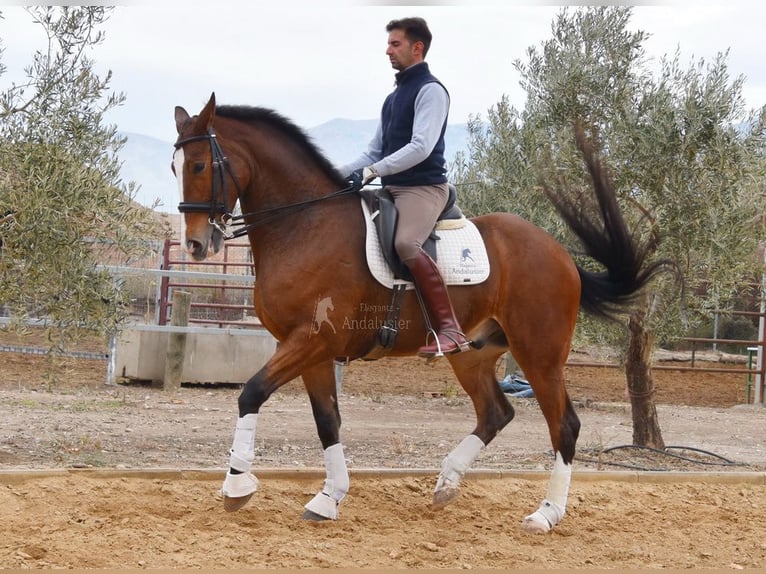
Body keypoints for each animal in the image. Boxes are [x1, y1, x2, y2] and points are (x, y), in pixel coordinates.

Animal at [172, 91, 664, 536]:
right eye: (176, 168)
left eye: (199, 166)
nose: (196, 244)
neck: (305, 225)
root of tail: (559, 252)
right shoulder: (310, 350)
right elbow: (327, 421)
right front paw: (328, 498)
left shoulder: (311, 341)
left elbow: (251, 393)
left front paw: (237, 486)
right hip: (472, 352)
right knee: (496, 412)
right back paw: (446, 483)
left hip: (539, 354)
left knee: (564, 425)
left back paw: (545, 514)